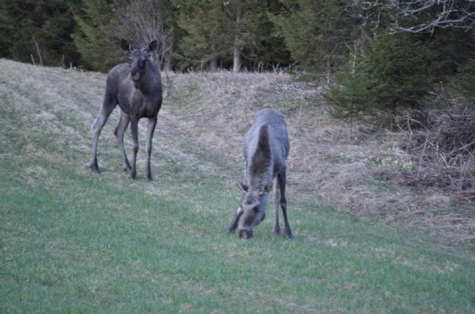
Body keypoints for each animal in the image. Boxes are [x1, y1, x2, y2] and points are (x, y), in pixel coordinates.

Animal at [89, 39, 164, 179]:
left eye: (143, 60)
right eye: (130, 59)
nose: (133, 74)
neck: (147, 93)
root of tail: (112, 69)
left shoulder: (154, 115)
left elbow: (149, 146)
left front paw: (148, 175)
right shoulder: (135, 115)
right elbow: (135, 145)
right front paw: (134, 174)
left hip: (125, 111)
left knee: (118, 131)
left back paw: (127, 166)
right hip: (110, 98)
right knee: (97, 125)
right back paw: (94, 165)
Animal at [228, 109, 292, 239]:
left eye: (256, 207)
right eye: (243, 206)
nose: (243, 232)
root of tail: (271, 108)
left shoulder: (282, 168)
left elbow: (283, 201)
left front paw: (288, 232)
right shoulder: (247, 165)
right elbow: (243, 195)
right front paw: (231, 227)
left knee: (276, 196)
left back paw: (277, 229)